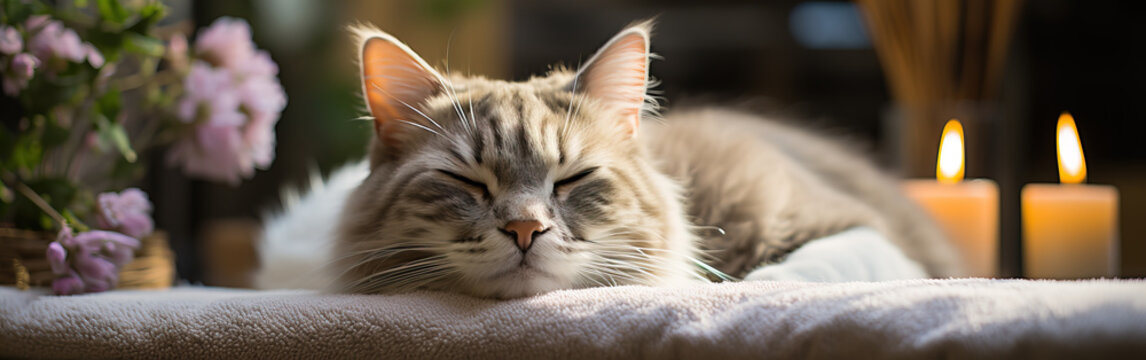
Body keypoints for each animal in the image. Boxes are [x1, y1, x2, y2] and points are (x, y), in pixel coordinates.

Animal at [257, 21, 958, 300]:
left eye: (573, 180)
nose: (525, 229)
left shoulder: (856, 228)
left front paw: (744, 288)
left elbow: (802, 268)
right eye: (465, 182)